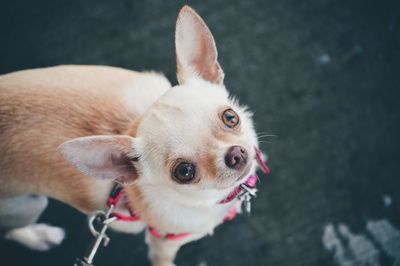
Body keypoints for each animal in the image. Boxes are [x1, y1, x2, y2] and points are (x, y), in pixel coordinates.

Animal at [0, 6, 266, 266]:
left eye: (231, 117)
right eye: (184, 172)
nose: (236, 154)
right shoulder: (163, 244)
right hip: (28, 206)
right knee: (9, 230)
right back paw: (38, 236)